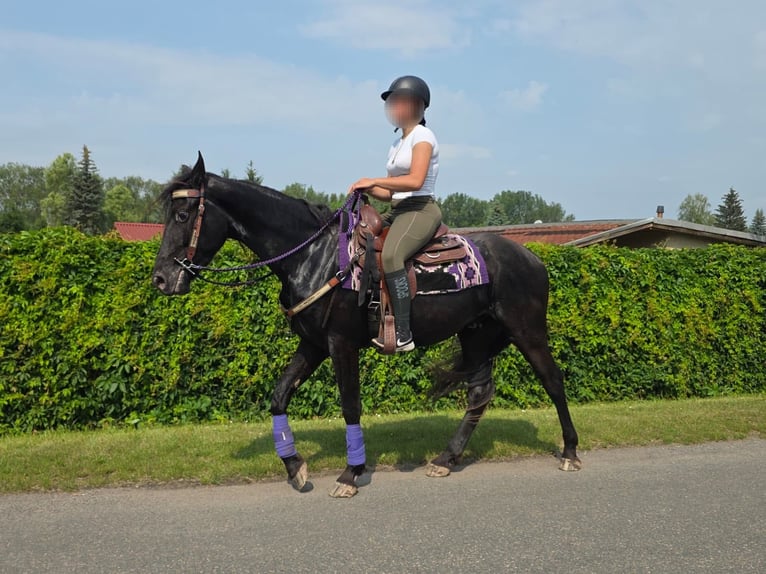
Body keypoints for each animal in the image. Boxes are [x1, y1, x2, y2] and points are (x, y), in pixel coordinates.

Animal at [152, 153, 581, 498]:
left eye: (183, 215)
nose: (160, 279)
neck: (315, 255)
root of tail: (533, 258)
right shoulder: (313, 345)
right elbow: (279, 395)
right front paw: (295, 468)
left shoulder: (341, 343)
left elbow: (350, 406)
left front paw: (350, 474)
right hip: (475, 334)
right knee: (479, 393)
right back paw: (446, 458)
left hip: (527, 331)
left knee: (553, 381)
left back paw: (570, 452)